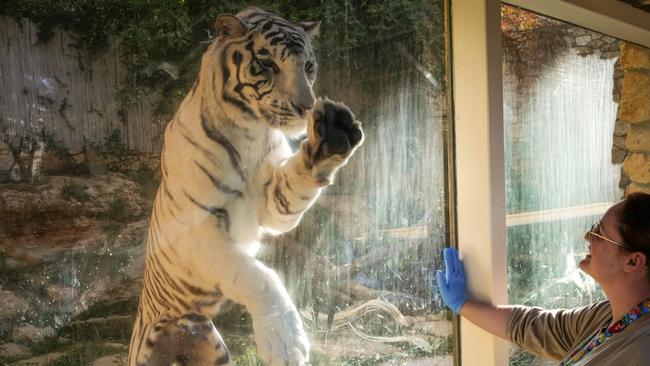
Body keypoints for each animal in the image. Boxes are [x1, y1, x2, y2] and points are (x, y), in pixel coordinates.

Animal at [124, 6, 362, 366]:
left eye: (308, 66)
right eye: (267, 65)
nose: (306, 107)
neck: (250, 130)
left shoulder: (273, 203)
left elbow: (296, 186)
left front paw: (332, 132)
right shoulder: (197, 231)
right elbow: (258, 275)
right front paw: (285, 342)